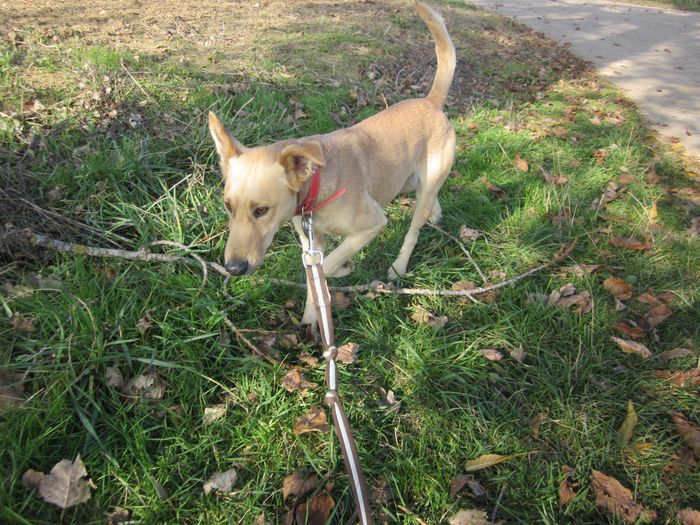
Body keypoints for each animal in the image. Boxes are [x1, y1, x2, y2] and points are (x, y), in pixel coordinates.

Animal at [208, 0, 460, 326]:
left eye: (261, 210)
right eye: (228, 206)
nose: (234, 268)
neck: (316, 188)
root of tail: (430, 102)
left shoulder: (371, 225)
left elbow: (324, 269)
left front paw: (340, 270)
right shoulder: (310, 242)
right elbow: (315, 280)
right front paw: (310, 321)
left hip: (420, 191)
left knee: (413, 230)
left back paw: (399, 266)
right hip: (405, 180)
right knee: (430, 199)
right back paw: (436, 214)